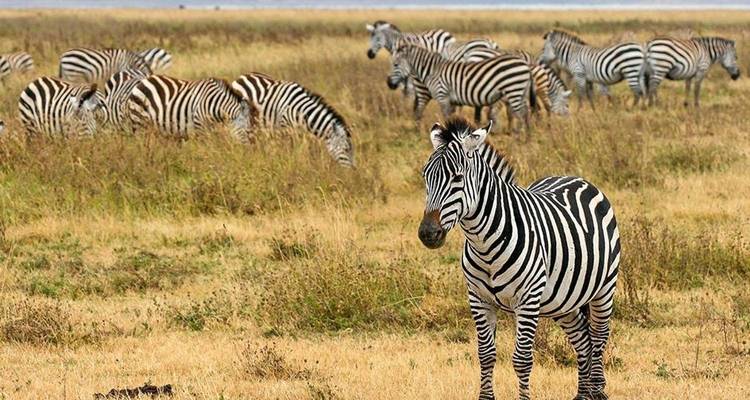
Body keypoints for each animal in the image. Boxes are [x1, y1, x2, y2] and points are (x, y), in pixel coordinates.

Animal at [127, 74, 256, 142]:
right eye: (246, 130)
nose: (249, 152)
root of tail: (143, 81)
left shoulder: (212, 130)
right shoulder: (200, 127)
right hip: (140, 122)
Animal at [388, 44, 534, 131]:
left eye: (395, 65)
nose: (389, 83)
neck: (433, 70)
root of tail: (525, 64)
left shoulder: (443, 96)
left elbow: (446, 117)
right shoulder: (451, 100)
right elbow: (451, 117)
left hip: (513, 90)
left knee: (521, 114)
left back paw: (518, 137)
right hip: (520, 91)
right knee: (526, 112)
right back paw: (527, 138)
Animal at [418, 116, 620, 400]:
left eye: (457, 177)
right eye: (425, 176)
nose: (428, 233)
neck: (485, 245)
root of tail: (574, 177)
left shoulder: (528, 299)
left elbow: (522, 360)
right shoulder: (478, 299)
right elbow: (486, 355)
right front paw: (486, 397)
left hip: (603, 288)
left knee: (599, 335)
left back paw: (597, 390)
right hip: (563, 301)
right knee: (583, 339)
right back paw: (582, 394)